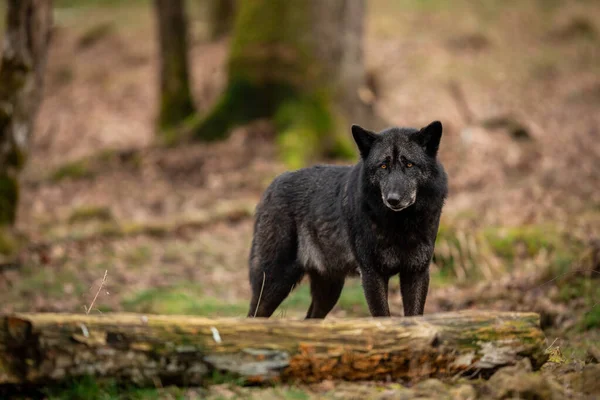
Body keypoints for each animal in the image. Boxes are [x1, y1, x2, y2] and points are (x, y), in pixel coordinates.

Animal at [246, 121, 448, 318]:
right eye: (383, 166)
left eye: (409, 165)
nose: (393, 199)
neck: (401, 225)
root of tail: (271, 185)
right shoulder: (371, 274)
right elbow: (383, 317)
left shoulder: (417, 273)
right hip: (275, 283)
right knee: (253, 316)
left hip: (329, 291)